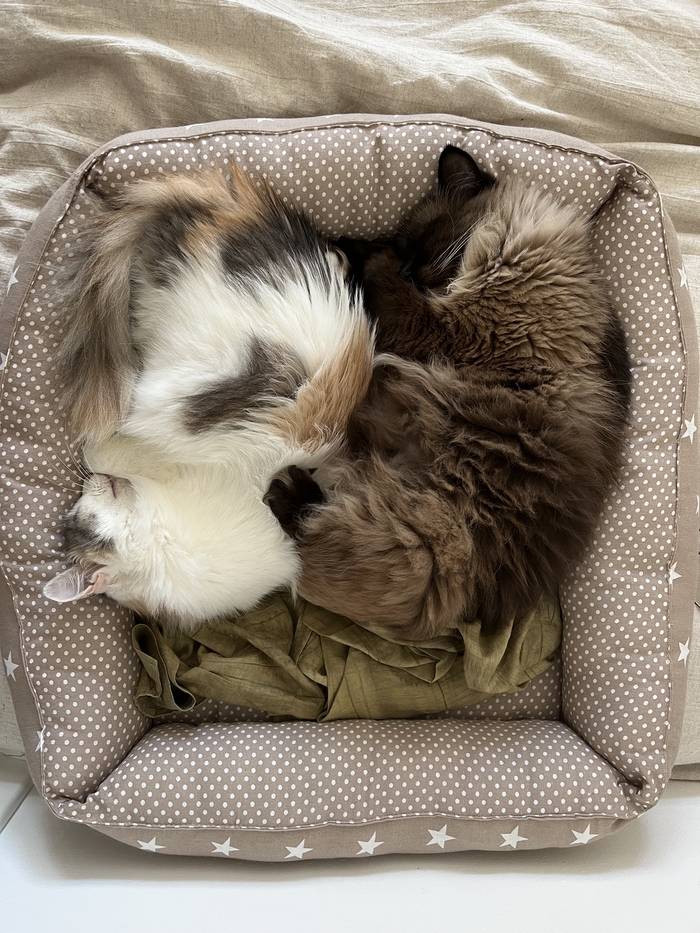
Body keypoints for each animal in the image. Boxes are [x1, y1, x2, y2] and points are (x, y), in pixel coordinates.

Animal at [267, 145, 633, 639]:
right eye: (404, 249)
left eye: (422, 243)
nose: (406, 268)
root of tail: (475, 601)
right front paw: (351, 250)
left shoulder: (449, 330)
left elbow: (389, 292)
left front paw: (359, 256)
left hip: (427, 539)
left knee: (329, 537)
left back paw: (287, 490)